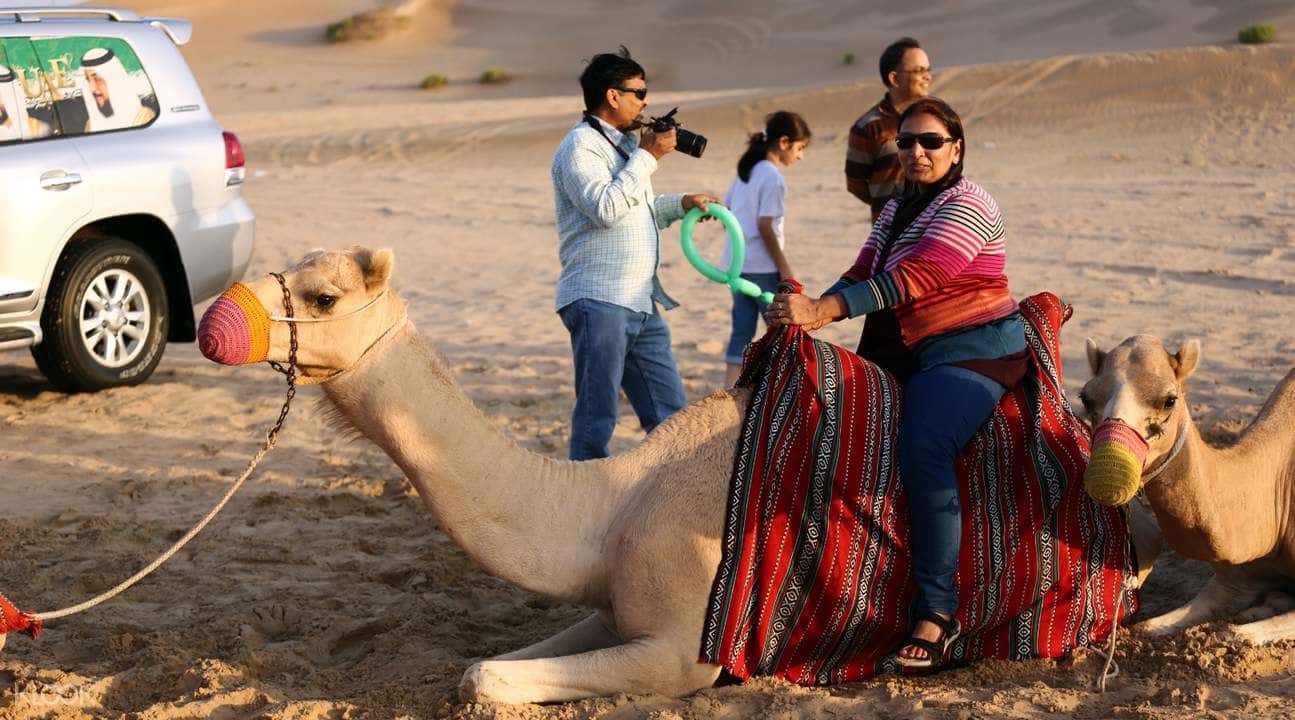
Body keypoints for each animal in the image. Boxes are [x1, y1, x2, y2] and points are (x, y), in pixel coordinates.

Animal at [197, 246, 1156, 704]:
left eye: (322, 296)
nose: (214, 320)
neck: (613, 503)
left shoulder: (683, 649)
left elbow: (486, 680)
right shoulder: (615, 607)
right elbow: (488, 662)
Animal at [1082, 335, 1295, 644]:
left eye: (1169, 400)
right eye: (1086, 398)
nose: (1108, 474)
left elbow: (1234, 634)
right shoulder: (1235, 580)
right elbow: (1147, 626)